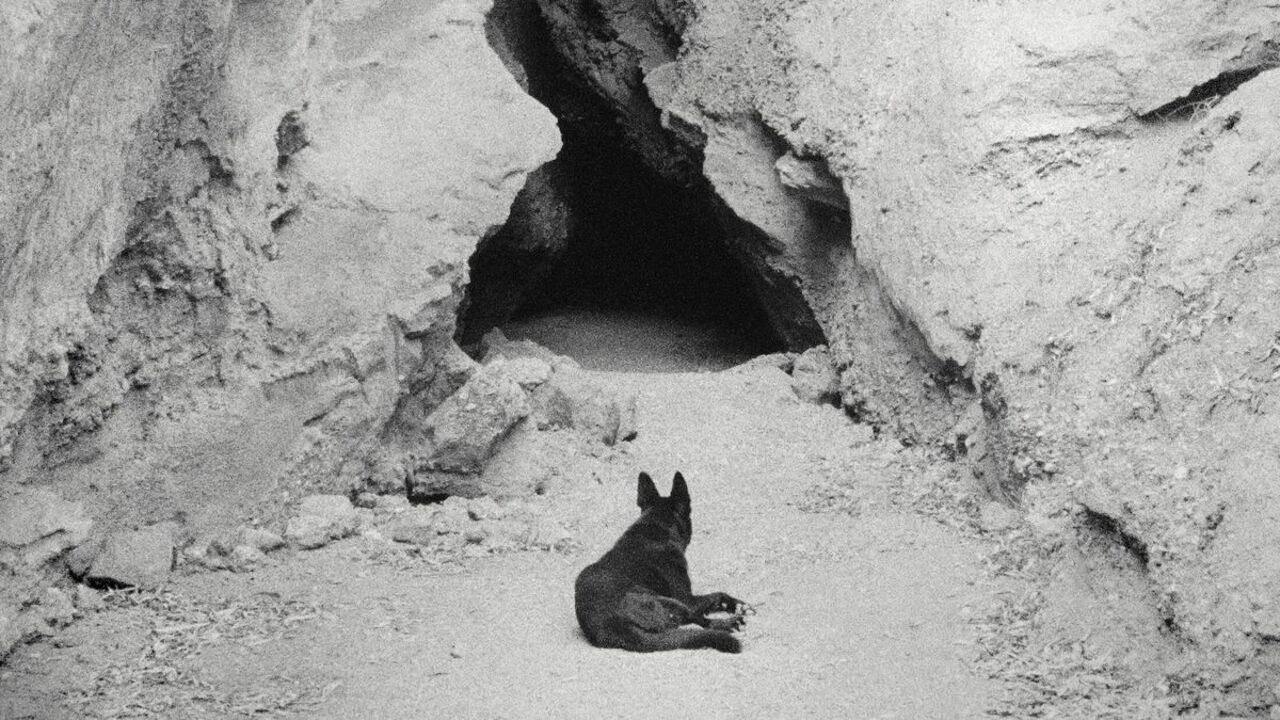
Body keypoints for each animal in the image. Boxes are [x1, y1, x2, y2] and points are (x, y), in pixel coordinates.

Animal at [574, 471, 748, 653]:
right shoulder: (688, 599)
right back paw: (729, 623)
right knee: (702, 622)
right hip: (672, 602)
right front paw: (738, 605)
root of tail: (614, 624)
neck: (655, 526)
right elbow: (718, 595)